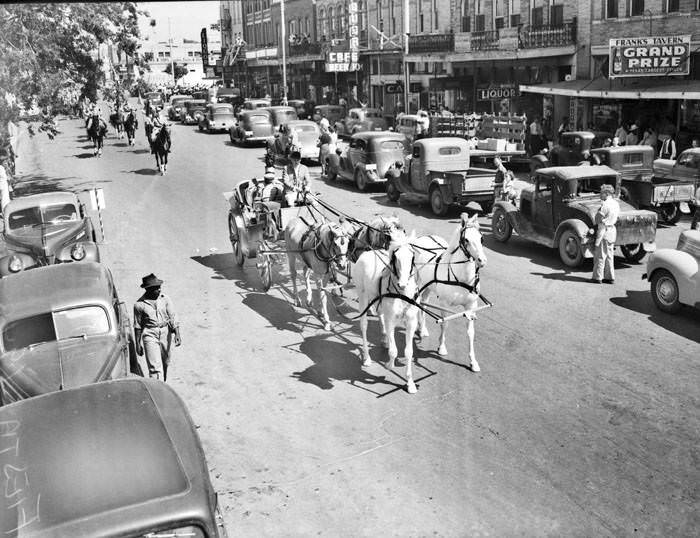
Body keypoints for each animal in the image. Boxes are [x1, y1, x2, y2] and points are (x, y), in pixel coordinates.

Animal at [356, 228, 422, 392]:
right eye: (395, 257)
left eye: (412, 256)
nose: (403, 283)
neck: (402, 294)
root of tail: (367, 253)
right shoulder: (391, 319)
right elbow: (394, 351)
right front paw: (389, 365)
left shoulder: (411, 321)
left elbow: (408, 352)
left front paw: (410, 383)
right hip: (362, 295)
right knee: (364, 325)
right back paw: (367, 357)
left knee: (380, 315)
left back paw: (384, 339)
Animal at [410, 211, 486, 370]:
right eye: (466, 240)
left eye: (481, 237)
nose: (482, 261)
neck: (462, 278)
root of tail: (425, 236)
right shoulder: (444, 303)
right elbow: (445, 324)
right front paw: (442, 347)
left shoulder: (471, 306)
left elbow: (471, 332)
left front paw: (473, 361)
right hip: (418, 283)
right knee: (419, 303)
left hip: (428, 286)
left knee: (424, 303)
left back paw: (422, 329)